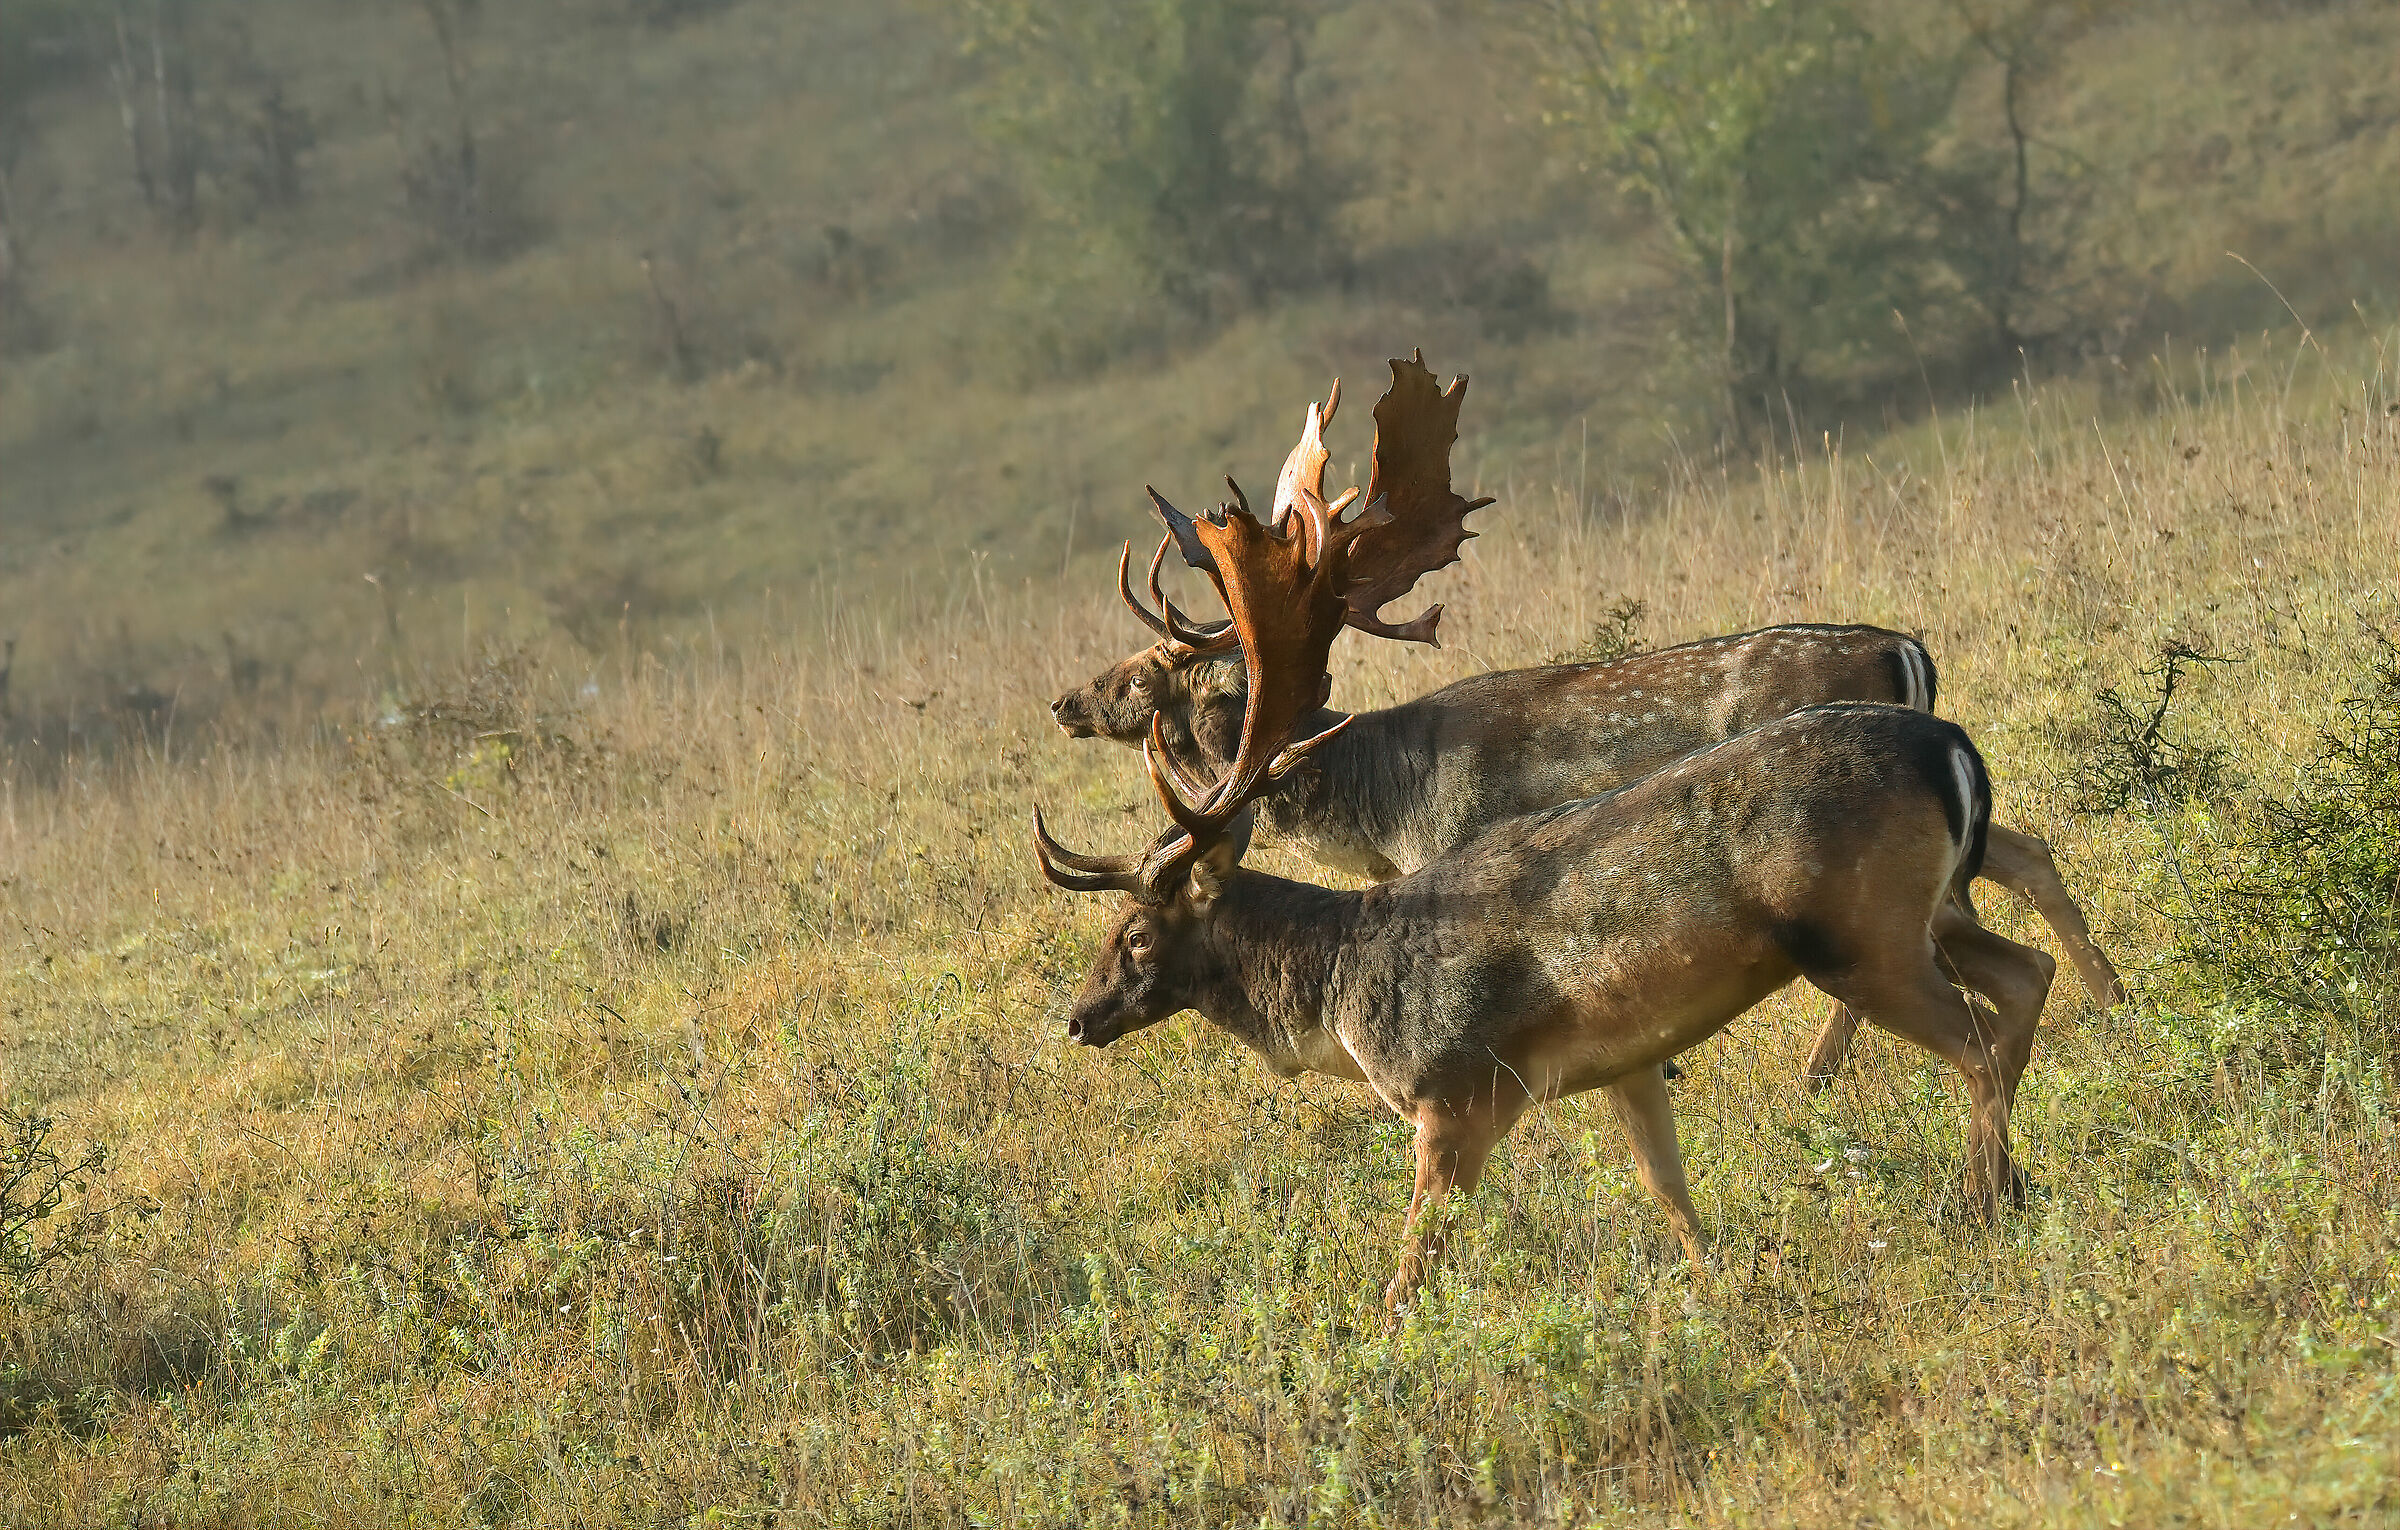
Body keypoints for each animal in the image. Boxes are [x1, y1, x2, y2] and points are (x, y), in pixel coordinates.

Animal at [1031, 460, 2053, 1311]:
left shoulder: (1456, 1097)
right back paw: (2017, 1166)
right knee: (2023, 966)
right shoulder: (1625, 1059)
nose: (1076, 1019)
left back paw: (1978, 1197)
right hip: (1926, 911)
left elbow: (1411, 1271)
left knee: (1976, 1038)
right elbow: (1670, 1193)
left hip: (1860, 933)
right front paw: (1724, 1292)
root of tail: (1949, 737)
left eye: (1133, 936)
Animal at [1049, 355, 2121, 1088]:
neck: (1387, 804)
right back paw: (2112, 995)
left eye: (1149, 669)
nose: (1063, 700)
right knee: (2024, 853)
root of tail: (1908, 650)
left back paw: (1822, 1067)